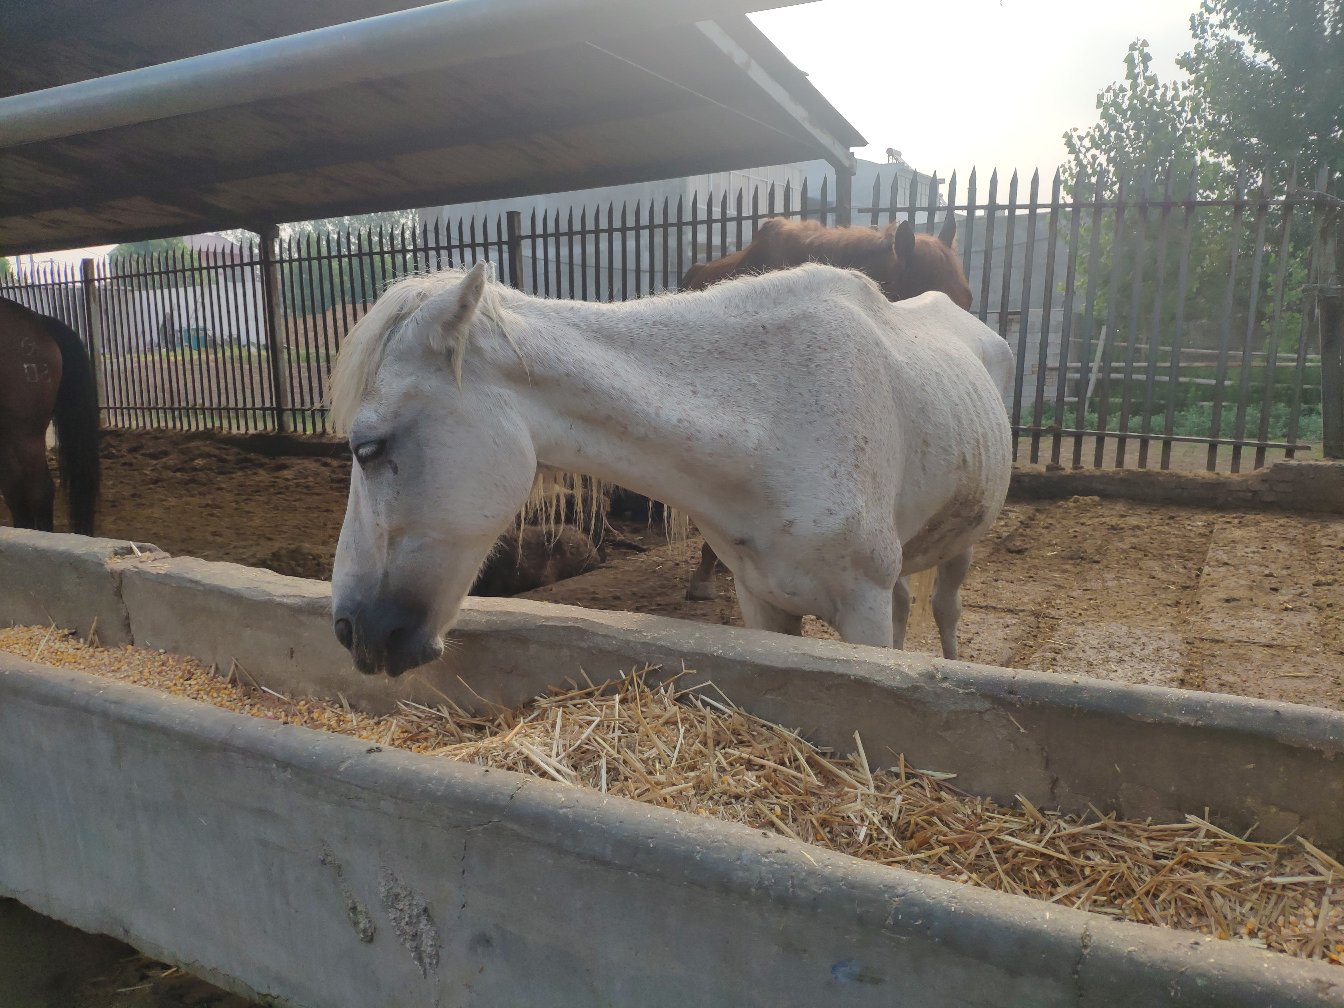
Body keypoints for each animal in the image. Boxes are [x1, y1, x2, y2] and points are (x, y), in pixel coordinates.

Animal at [327, 261, 1011, 677]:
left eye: (369, 447)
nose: (348, 630)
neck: (772, 419)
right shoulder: (763, 602)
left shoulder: (861, 611)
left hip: (962, 547)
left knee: (946, 609)